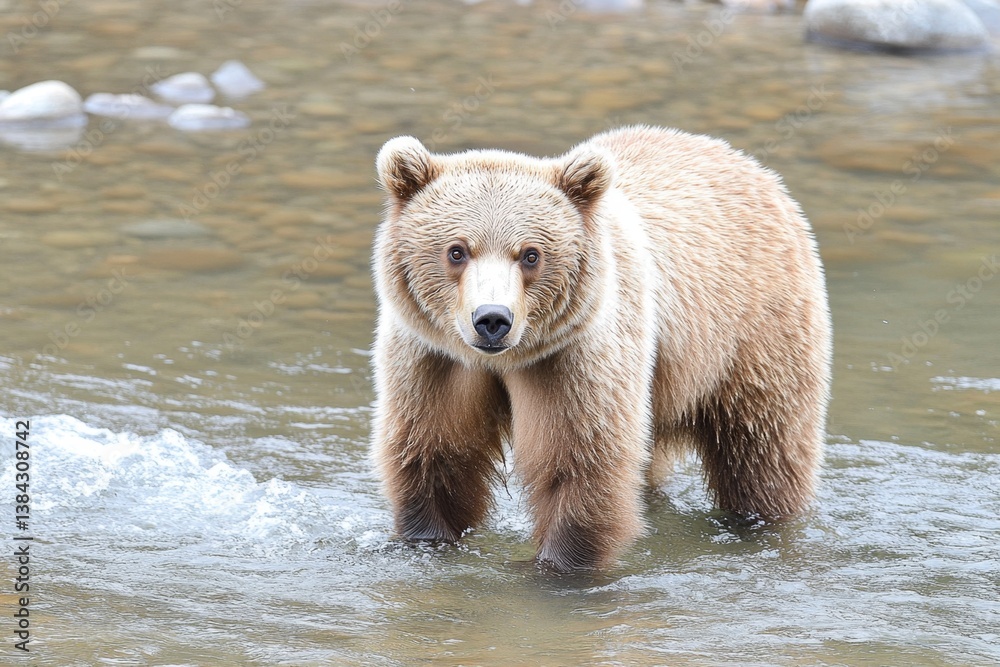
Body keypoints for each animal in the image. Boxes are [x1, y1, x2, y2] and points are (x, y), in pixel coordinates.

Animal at [370, 125, 831, 571]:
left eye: (531, 254)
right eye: (457, 250)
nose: (492, 319)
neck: (505, 360)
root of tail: (748, 165)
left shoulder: (576, 357)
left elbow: (581, 462)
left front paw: (561, 565)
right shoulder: (433, 359)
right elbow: (433, 451)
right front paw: (428, 538)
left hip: (756, 332)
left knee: (763, 444)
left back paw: (758, 519)